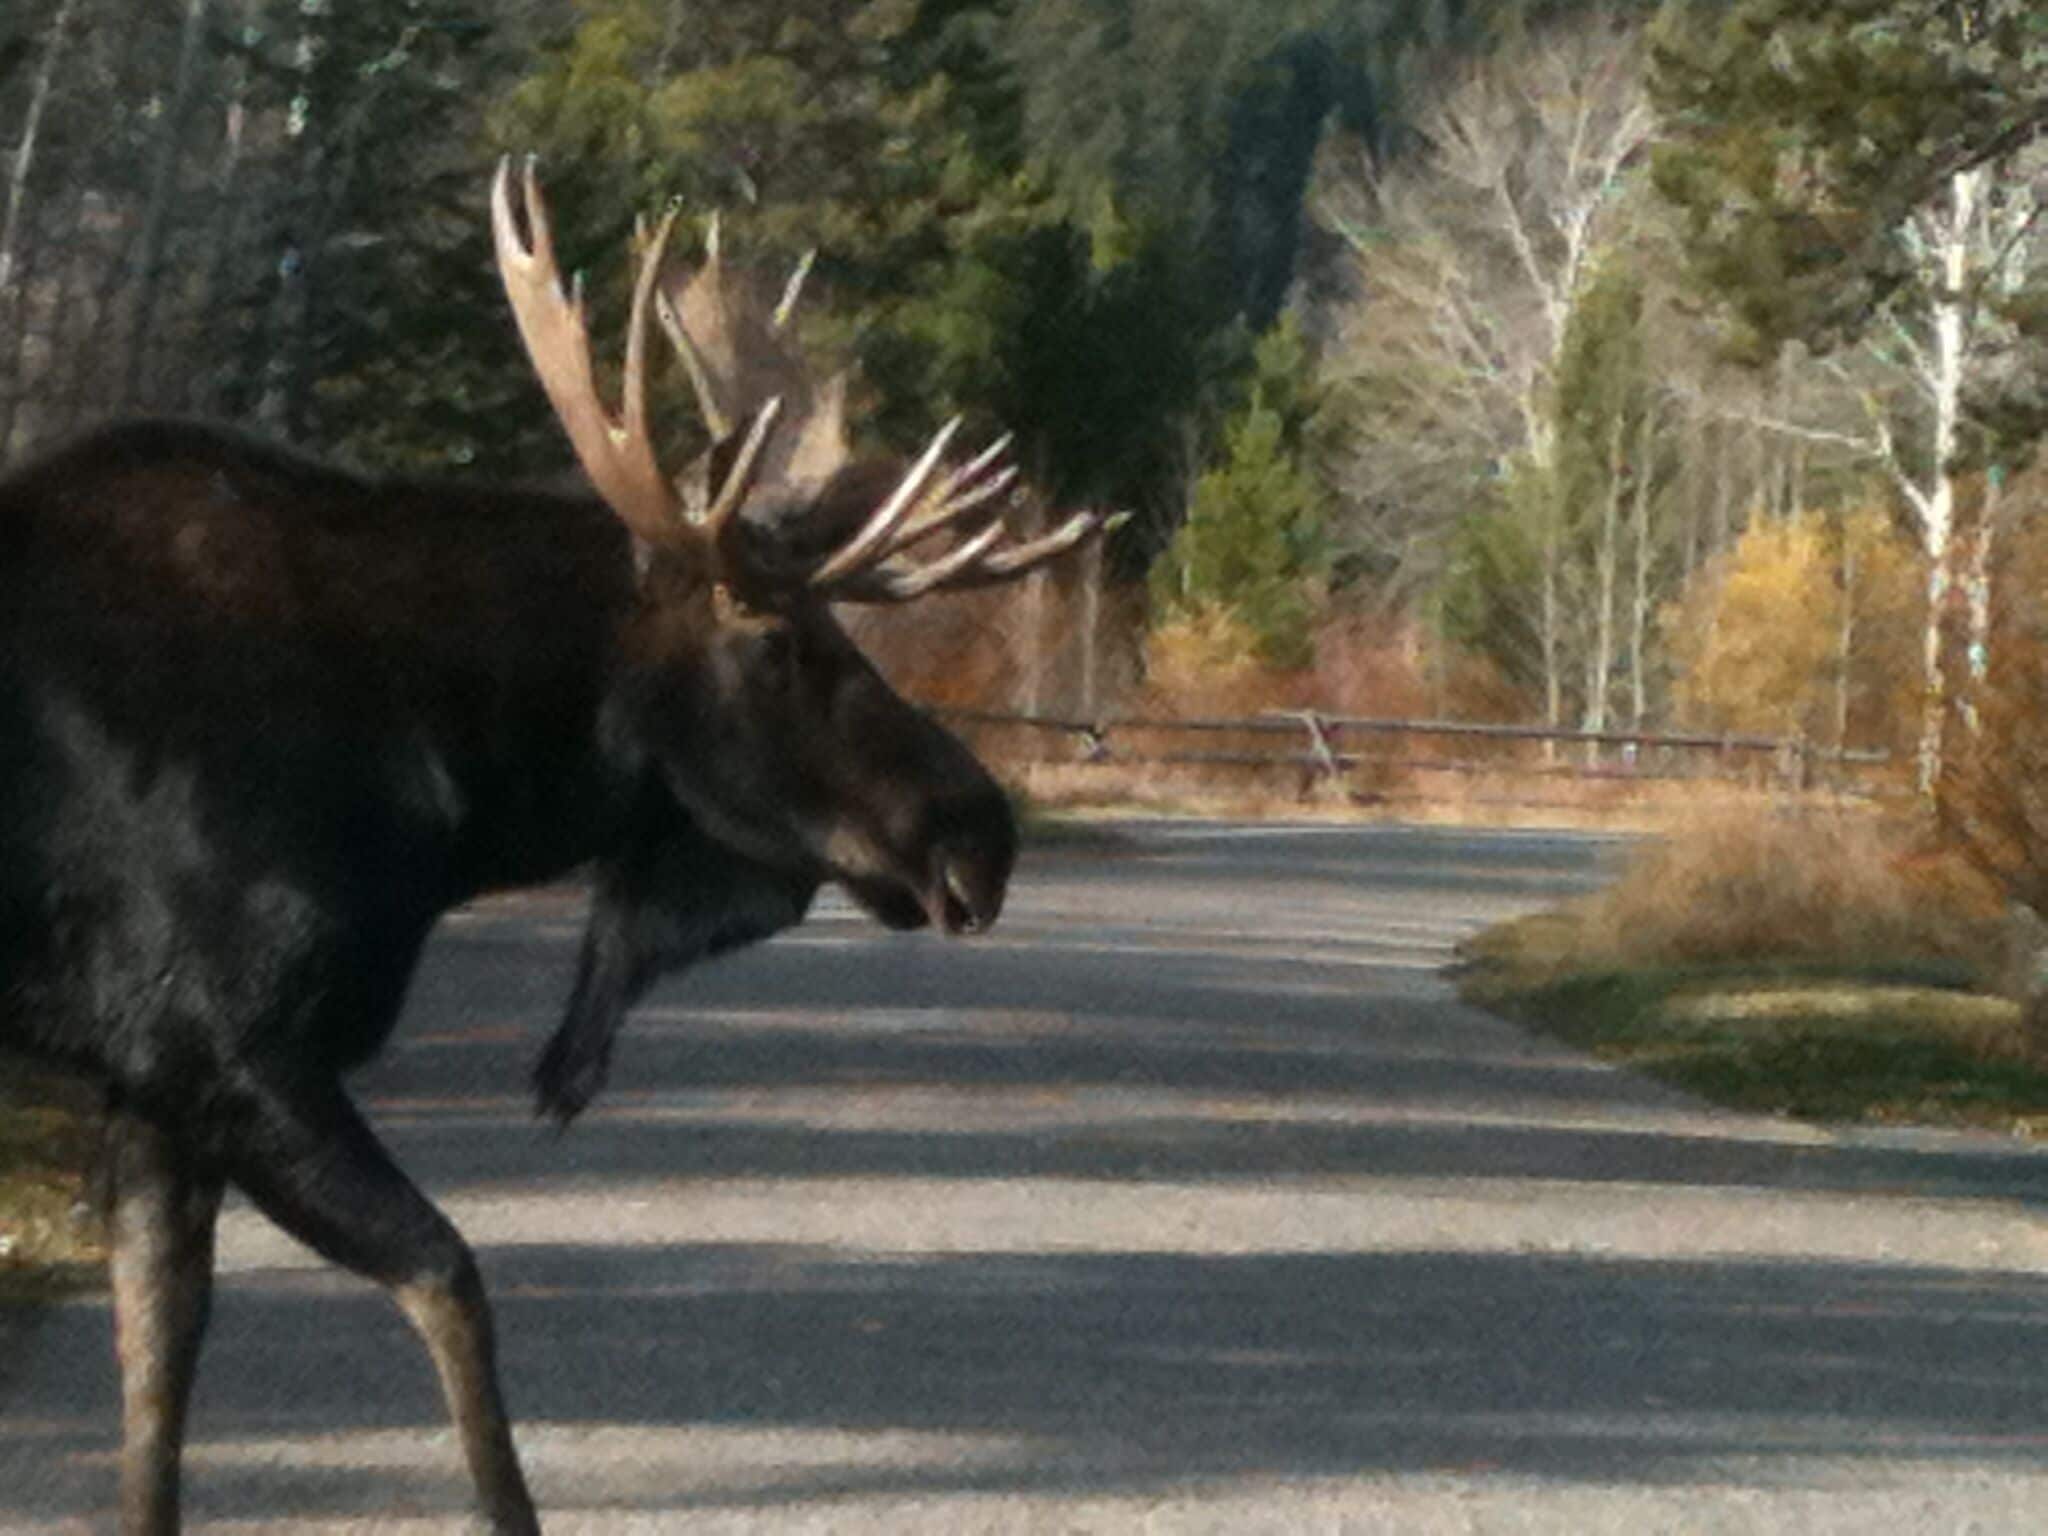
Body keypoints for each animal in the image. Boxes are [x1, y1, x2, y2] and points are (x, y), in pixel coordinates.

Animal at [0, 159, 1110, 1534]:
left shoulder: (149, 1078)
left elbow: (157, 1390)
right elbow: (451, 1286)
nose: (980, 831)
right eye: (779, 641)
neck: (443, 784)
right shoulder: (229, 1045)